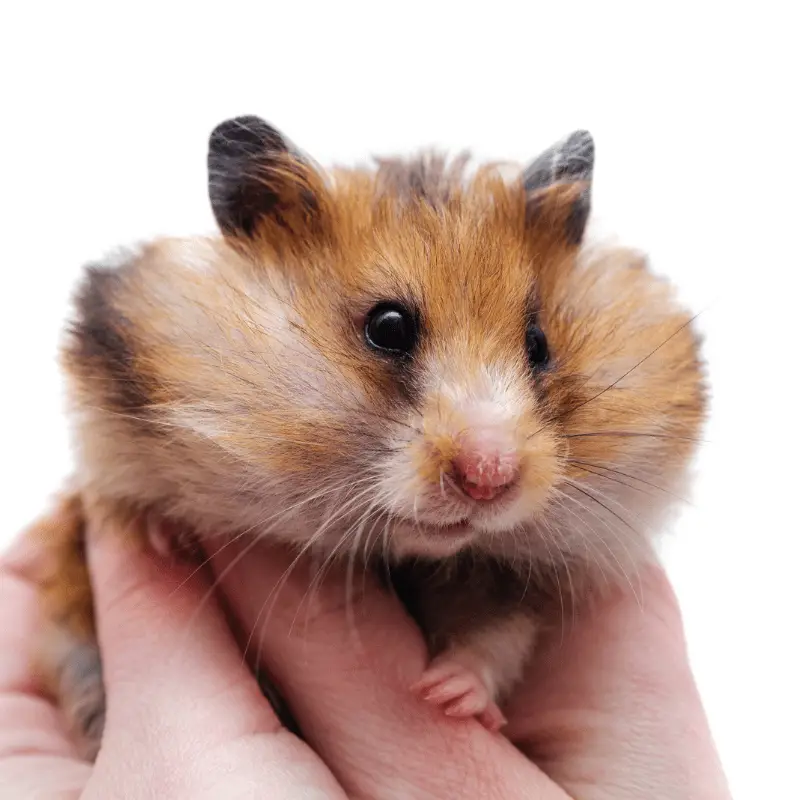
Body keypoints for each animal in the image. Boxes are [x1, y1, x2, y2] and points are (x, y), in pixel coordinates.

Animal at [25, 114, 704, 756]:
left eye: (539, 344)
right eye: (388, 327)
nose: (489, 478)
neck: (406, 557)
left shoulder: (510, 585)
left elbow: (496, 638)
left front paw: (446, 696)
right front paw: (162, 537)